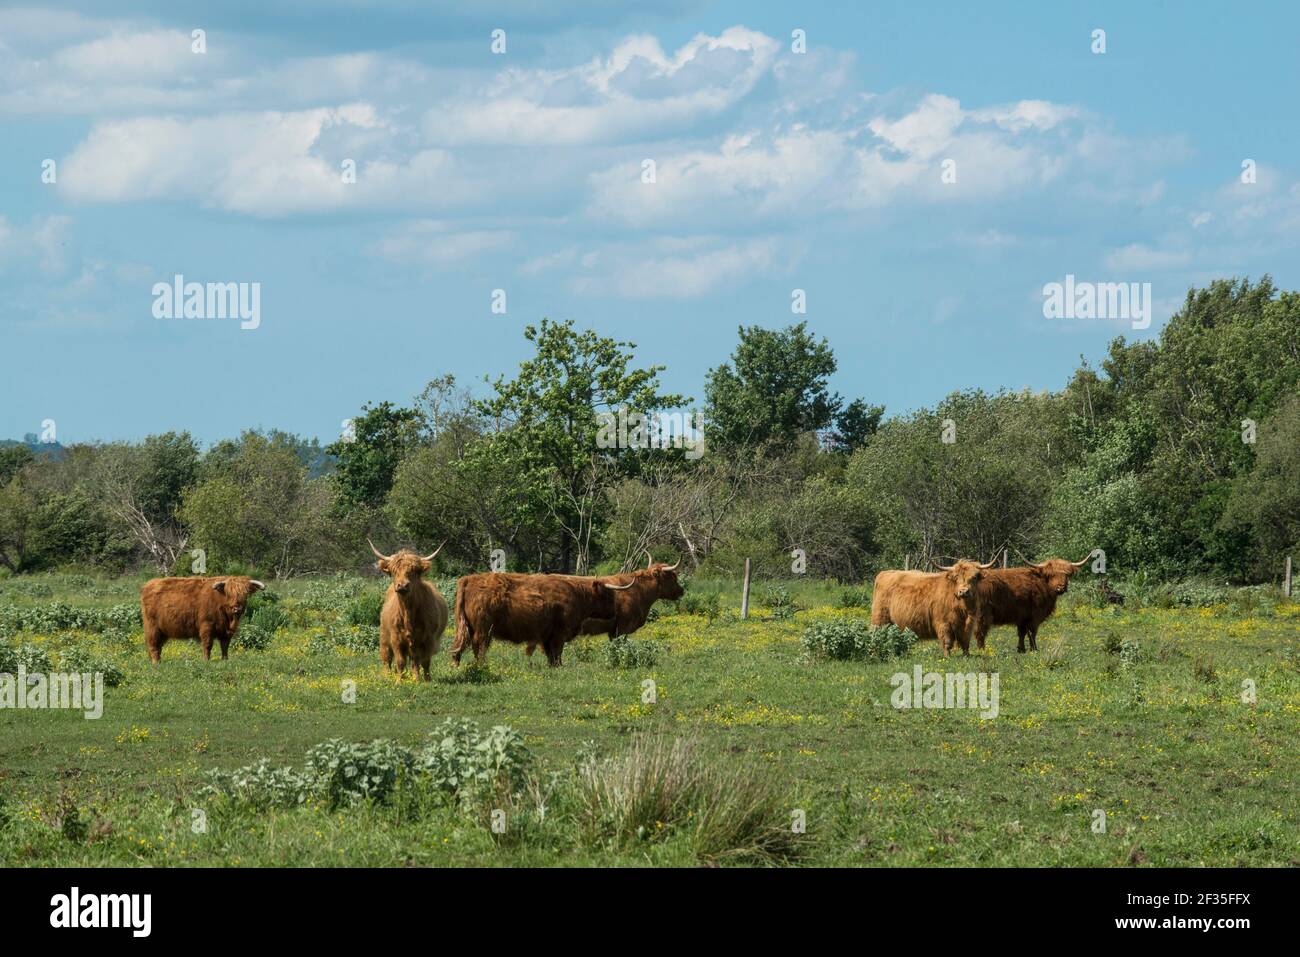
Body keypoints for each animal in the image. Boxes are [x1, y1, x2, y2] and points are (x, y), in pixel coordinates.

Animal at [369, 538, 449, 681]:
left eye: (414, 571)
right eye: (393, 571)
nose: (402, 585)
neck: (408, 613)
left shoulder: (428, 639)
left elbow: (424, 661)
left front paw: (424, 680)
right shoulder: (396, 638)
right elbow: (400, 661)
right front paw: (399, 681)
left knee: (414, 660)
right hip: (384, 636)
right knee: (386, 658)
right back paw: (387, 676)